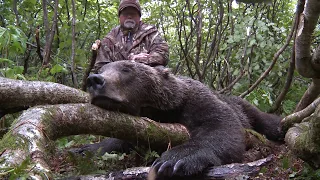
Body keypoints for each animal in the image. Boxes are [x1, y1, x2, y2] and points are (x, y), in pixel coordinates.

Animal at [87, 60, 282, 179]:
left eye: (127, 69)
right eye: (101, 70)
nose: (94, 79)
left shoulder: (195, 99)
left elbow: (221, 125)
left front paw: (173, 159)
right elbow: (121, 140)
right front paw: (88, 148)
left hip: (246, 108)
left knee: (266, 121)